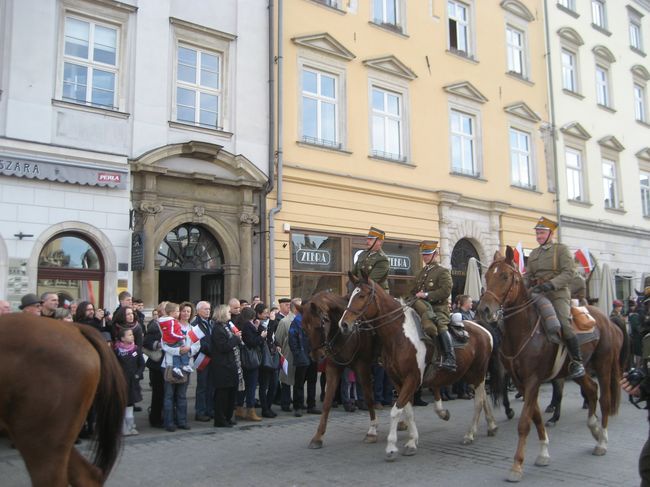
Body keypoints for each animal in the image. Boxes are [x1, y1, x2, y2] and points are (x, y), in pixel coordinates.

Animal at [300, 292, 380, 448]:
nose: (316, 356)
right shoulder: (333, 367)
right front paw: (318, 436)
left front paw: (372, 432)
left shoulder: (362, 366)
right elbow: (327, 401)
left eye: (318, 326)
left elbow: (369, 397)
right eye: (304, 329)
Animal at [340, 274, 496, 462]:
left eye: (361, 296)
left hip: (478, 372)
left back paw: (470, 434)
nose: (344, 324)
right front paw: (412, 442)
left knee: (479, 401)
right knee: (483, 397)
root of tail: (483, 329)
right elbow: (407, 411)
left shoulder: (412, 378)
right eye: (349, 296)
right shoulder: (398, 381)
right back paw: (491, 426)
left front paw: (391, 447)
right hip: (469, 374)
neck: (399, 336)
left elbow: (396, 411)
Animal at [476, 248, 624, 484]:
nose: (484, 310)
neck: (524, 330)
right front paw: (543, 453)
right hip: (576, 369)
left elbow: (524, 422)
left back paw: (602, 441)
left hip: (604, 365)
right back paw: (593, 428)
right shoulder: (521, 382)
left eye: (505, 276)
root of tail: (607, 319)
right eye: (487, 276)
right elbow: (535, 417)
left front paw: (516, 466)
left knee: (605, 399)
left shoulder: (533, 380)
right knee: (591, 390)